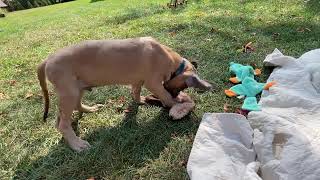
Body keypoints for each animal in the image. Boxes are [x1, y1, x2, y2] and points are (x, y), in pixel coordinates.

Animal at [37, 37, 212, 152]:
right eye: (182, 88)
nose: (178, 96)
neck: (172, 60)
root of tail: (47, 60)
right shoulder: (153, 83)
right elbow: (165, 96)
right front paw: (178, 105)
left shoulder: (138, 81)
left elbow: (135, 91)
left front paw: (141, 100)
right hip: (69, 93)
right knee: (63, 123)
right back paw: (77, 144)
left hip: (76, 90)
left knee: (64, 116)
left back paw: (89, 110)